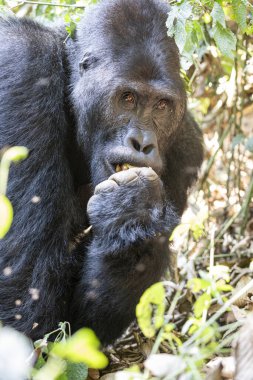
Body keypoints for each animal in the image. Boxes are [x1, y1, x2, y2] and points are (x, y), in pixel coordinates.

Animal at [0, 0, 203, 344]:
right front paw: (132, 206)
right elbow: (24, 302)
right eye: (127, 98)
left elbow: (81, 326)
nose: (142, 143)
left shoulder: (186, 146)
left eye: (162, 106)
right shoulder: (21, 71)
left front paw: (133, 213)